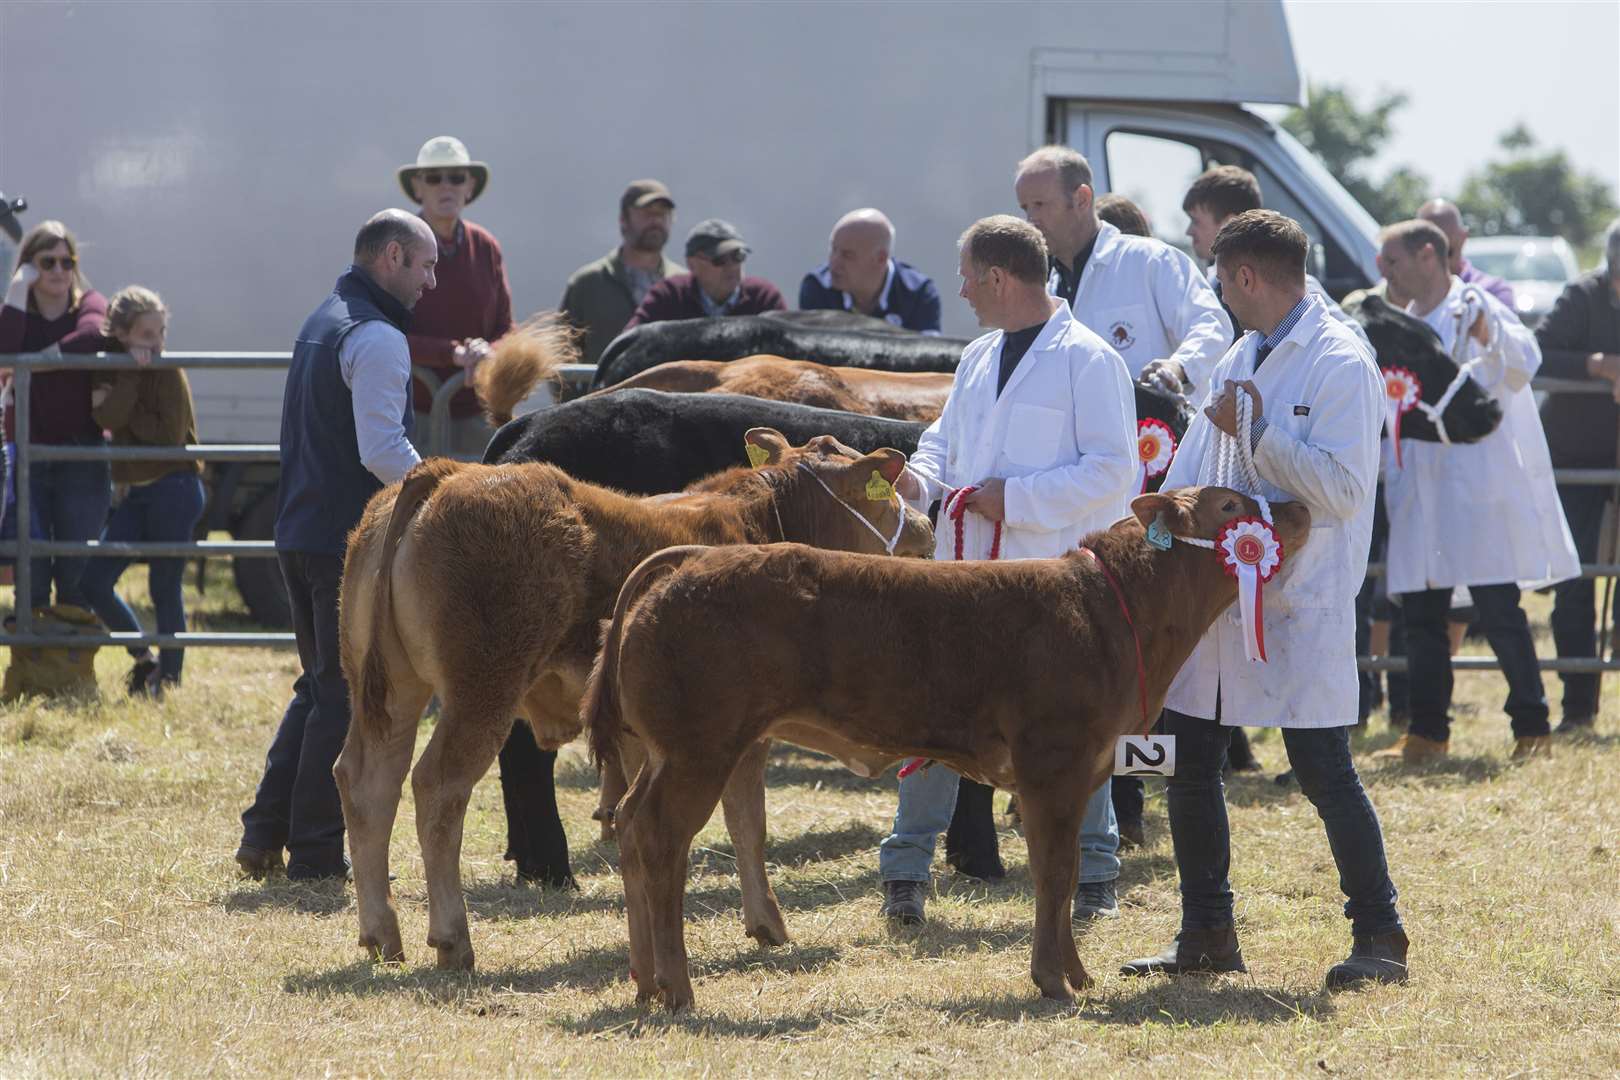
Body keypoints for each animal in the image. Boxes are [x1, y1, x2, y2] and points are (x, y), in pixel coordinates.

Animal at [335, 433, 933, 977]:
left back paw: (380, 933)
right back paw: (452, 939)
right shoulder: (741, 729)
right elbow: (747, 821)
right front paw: (767, 922)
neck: (760, 521)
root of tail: (449, 472)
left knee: (366, 784)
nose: (925, 527)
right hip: (481, 690)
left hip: (391, 692)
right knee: (437, 787)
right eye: (886, 486)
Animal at [589, 488, 1308, 1016]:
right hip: (699, 749)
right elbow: (1056, 871)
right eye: (1231, 506)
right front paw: (1054, 978)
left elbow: (1067, 871)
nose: (1297, 507)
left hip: (665, 752)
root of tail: (689, 560)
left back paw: (645, 980)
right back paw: (677, 988)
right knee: (660, 840)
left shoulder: (1081, 770)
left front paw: (1074, 973)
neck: (1109, 609)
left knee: (629, 825)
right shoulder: (1054, 767)